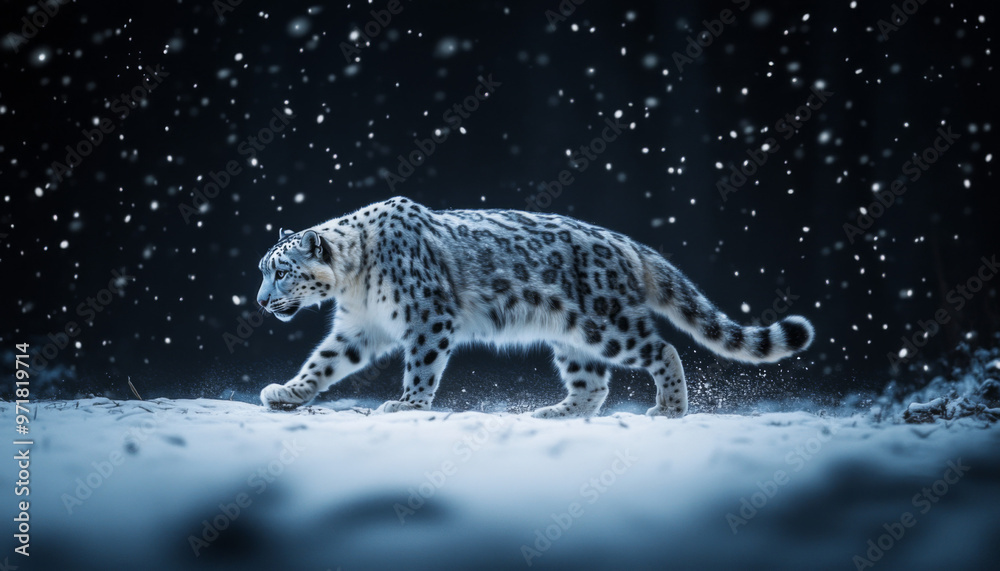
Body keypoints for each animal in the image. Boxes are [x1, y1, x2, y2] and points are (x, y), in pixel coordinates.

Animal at [256, 196, 813, 418]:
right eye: (263, 268)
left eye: (280, 271)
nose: (260, 301)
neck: (354, 285)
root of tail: (628, 244)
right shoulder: (359, 328)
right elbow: (322, 362)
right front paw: (285, 392)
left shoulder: (428, 319)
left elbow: (422, 367)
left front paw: (407, 405)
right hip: (571, 339)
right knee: (593, 386)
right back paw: (553, 412)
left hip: (606, 324)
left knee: (663, 349)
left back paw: (670, 408)